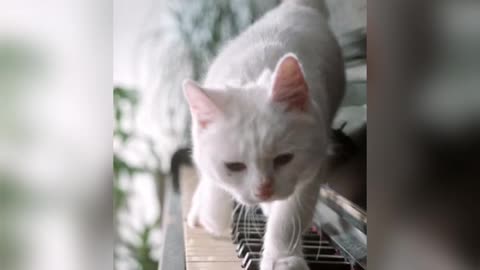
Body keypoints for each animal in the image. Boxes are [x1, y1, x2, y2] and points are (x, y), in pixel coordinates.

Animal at [182, 1, 344, 268]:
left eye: (284, 159)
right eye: (234, 166)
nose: (264, 191)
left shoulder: (312, 166)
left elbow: (289, 217)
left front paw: (282, 258)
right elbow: (213, 180)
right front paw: (212, 212)